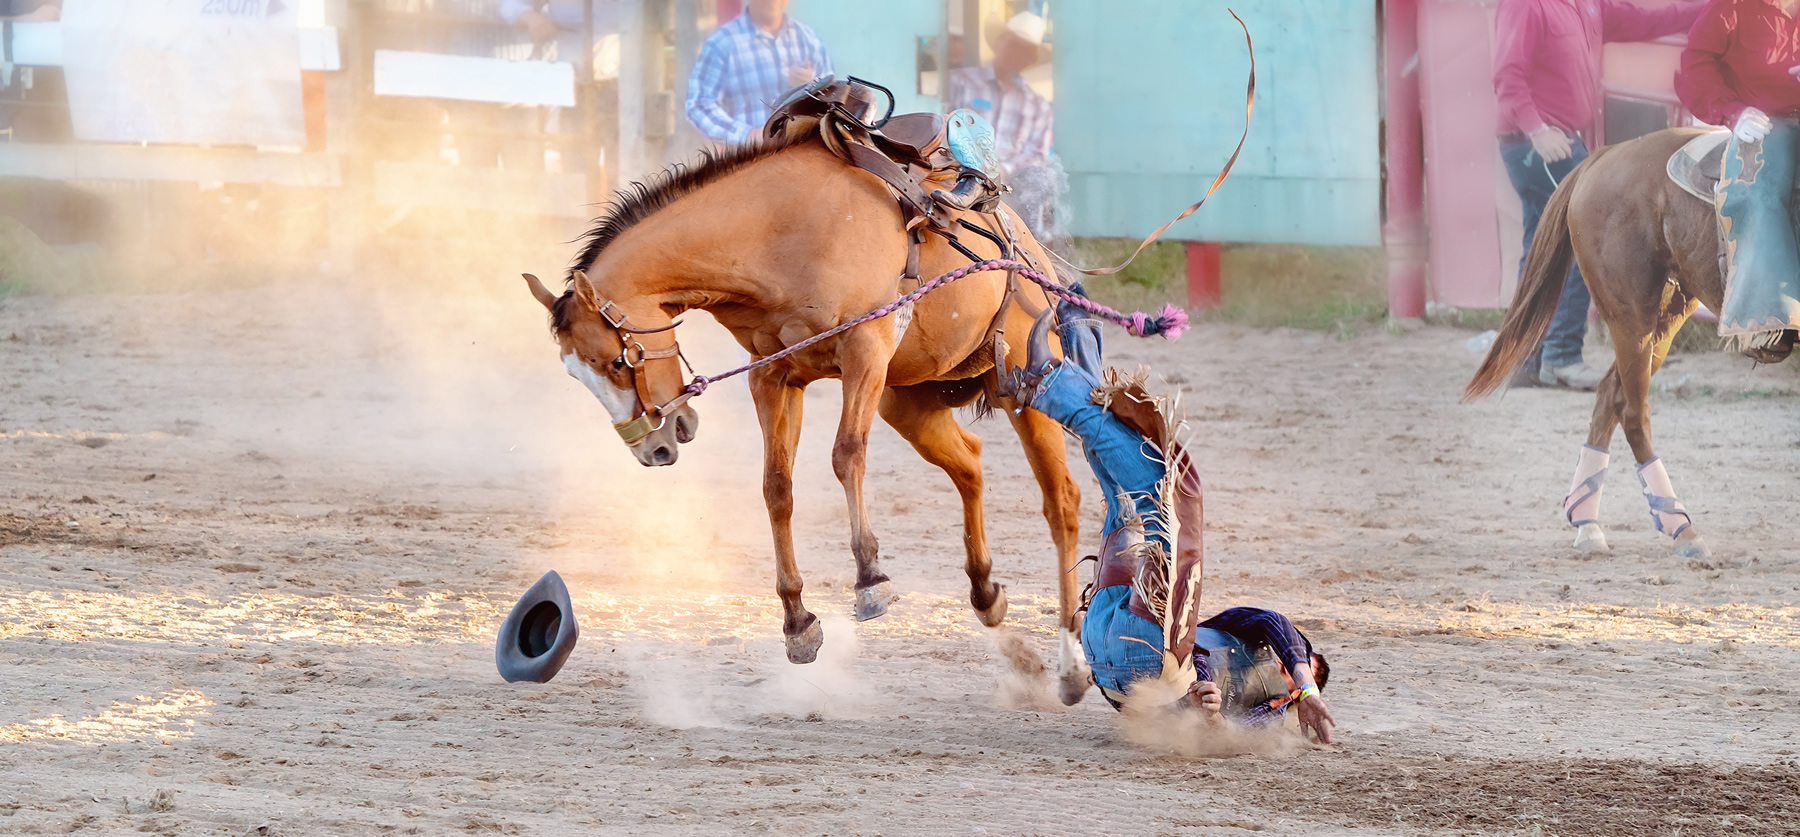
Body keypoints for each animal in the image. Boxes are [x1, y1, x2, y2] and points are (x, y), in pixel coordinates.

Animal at [525, 132, 1087, 705]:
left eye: (618, 361)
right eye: (577, 375)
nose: (652, 447)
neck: (778, 230)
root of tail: (1026, 244)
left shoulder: (865, 350)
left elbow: (846, 455)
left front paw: (870, 580)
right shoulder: (772, 375)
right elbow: (776, 486)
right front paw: (797, 622)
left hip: (1025, 383)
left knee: (1061, 501)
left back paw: (1071, 665)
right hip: (907, 403)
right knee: (971, 465)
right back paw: (987, 595)